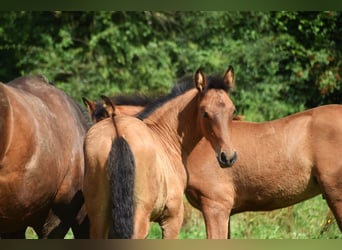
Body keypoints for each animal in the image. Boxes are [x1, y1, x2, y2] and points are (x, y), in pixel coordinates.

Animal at [83, 66, 238, 238]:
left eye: (232, 111)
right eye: (205, 113)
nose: (228, 157)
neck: (165, 136)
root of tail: (117, 132)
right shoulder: (172, 218)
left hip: (98, 216)